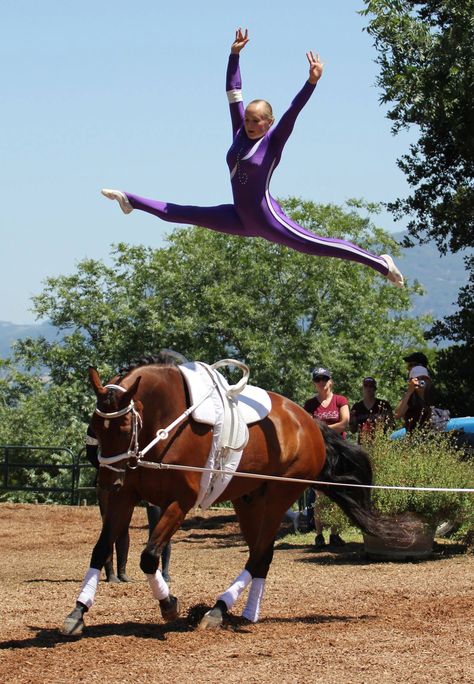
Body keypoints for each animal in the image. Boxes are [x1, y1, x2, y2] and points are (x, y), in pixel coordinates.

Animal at [62, 358, 412, 636]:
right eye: (95, 427)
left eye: (123, 428)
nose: (107, 482)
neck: (163, 425)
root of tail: (309, 422)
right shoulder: (125, 497)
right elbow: (100, 549)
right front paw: (77, 613)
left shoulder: (181, 501)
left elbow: (149, 557)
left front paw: (169, 604)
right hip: (249, 500)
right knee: (262, 555)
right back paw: (247, 613)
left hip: (279, 495)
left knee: (258, 555)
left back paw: (218, 610)